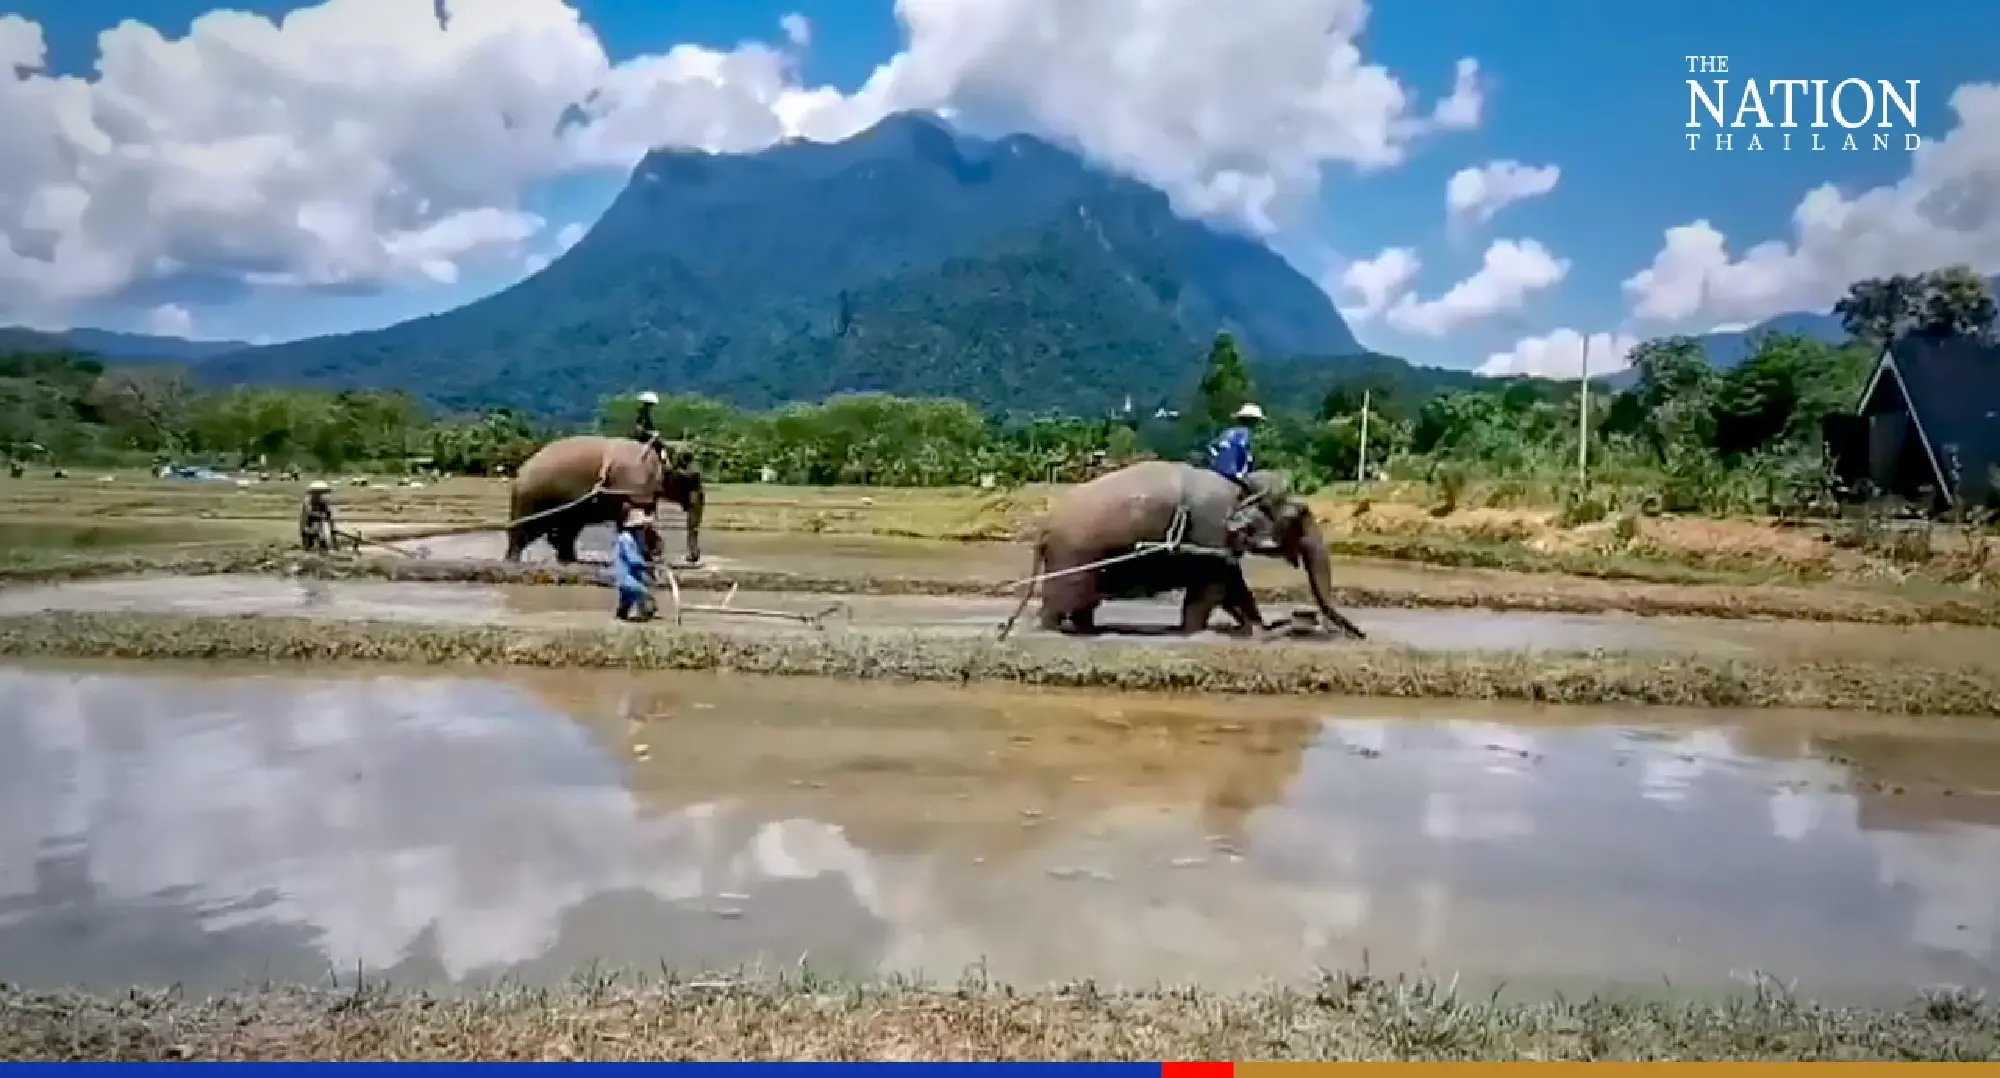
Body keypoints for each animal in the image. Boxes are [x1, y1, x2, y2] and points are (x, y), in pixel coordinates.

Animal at [504, 435, 705, 565]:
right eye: (694, 478)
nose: (691, 558)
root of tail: (520, 471)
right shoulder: (634, 483)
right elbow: (635, 517)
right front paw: (653, 555)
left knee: (566, 528)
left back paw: (569, 559)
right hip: (532, 496)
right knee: (526, 530)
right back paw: (513, 561)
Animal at [1008, 459, 1365, 640]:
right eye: (1298, 515)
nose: (1358, 635)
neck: (1242, 488)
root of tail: (1043, 528)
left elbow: (1233, 586)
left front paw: (1250, 629)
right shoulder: (1211, 533)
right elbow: (1211, 589)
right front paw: (1195, 633)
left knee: (1082, 602)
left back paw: (1090, 631)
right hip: (1072, 554)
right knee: (1061, 601)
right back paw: (1054, 633)